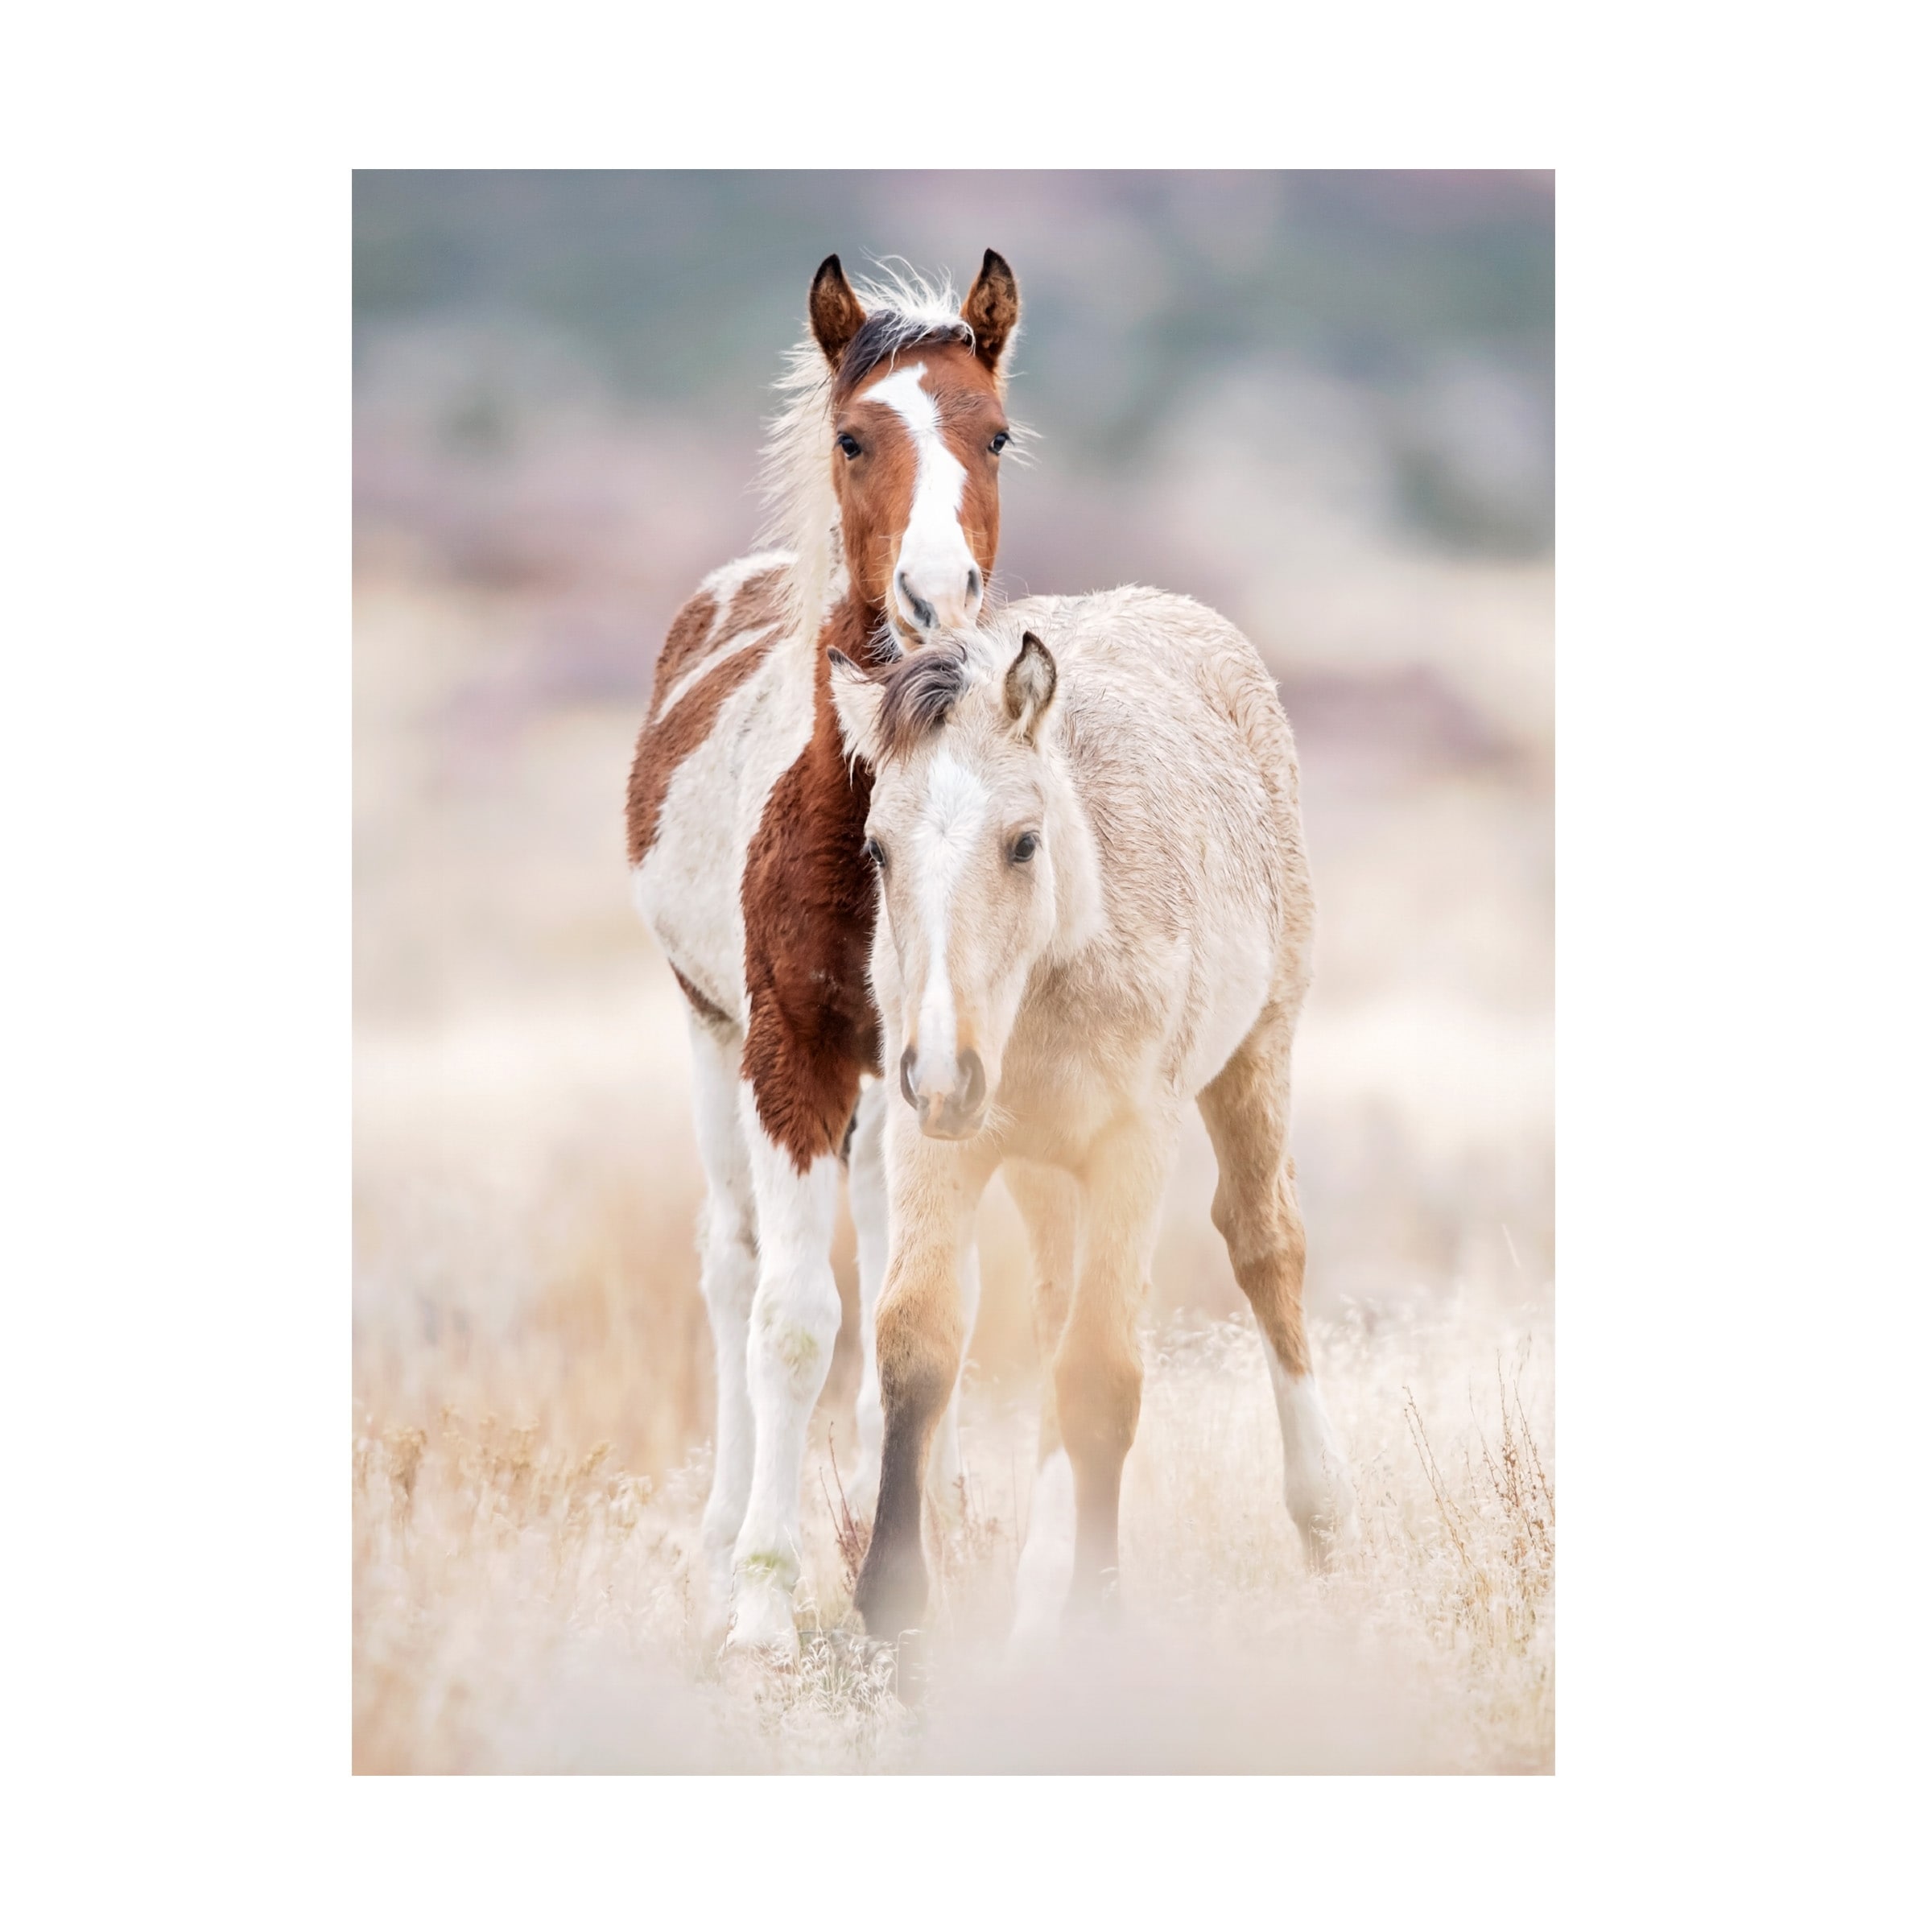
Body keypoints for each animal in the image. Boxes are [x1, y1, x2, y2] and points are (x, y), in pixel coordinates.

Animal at [625, 252, 1022, 1657]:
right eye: (855, 438)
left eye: (995, 433)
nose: (935, 601)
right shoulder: (788, 1051)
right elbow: (791, 1321)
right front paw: (762, 1604)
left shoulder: (935, 1069)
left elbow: (926, 1311)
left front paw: (927, 1565)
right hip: (710, 1042)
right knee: (734, 1264)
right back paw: (720, 1545)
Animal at [827, 592, 1359, 1644]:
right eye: (877, 848)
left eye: (1023, 842)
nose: (943, 1071)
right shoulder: (934, 1143)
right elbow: (917, 1340)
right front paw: (897, 1611)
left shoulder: (1130, 1148)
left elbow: (1104, 1376)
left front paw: (1095, 1617)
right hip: (1040, 1168)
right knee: (1051, 1310)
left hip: (1258, 1054)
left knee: (1266, 1246)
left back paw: (1321, 1517)